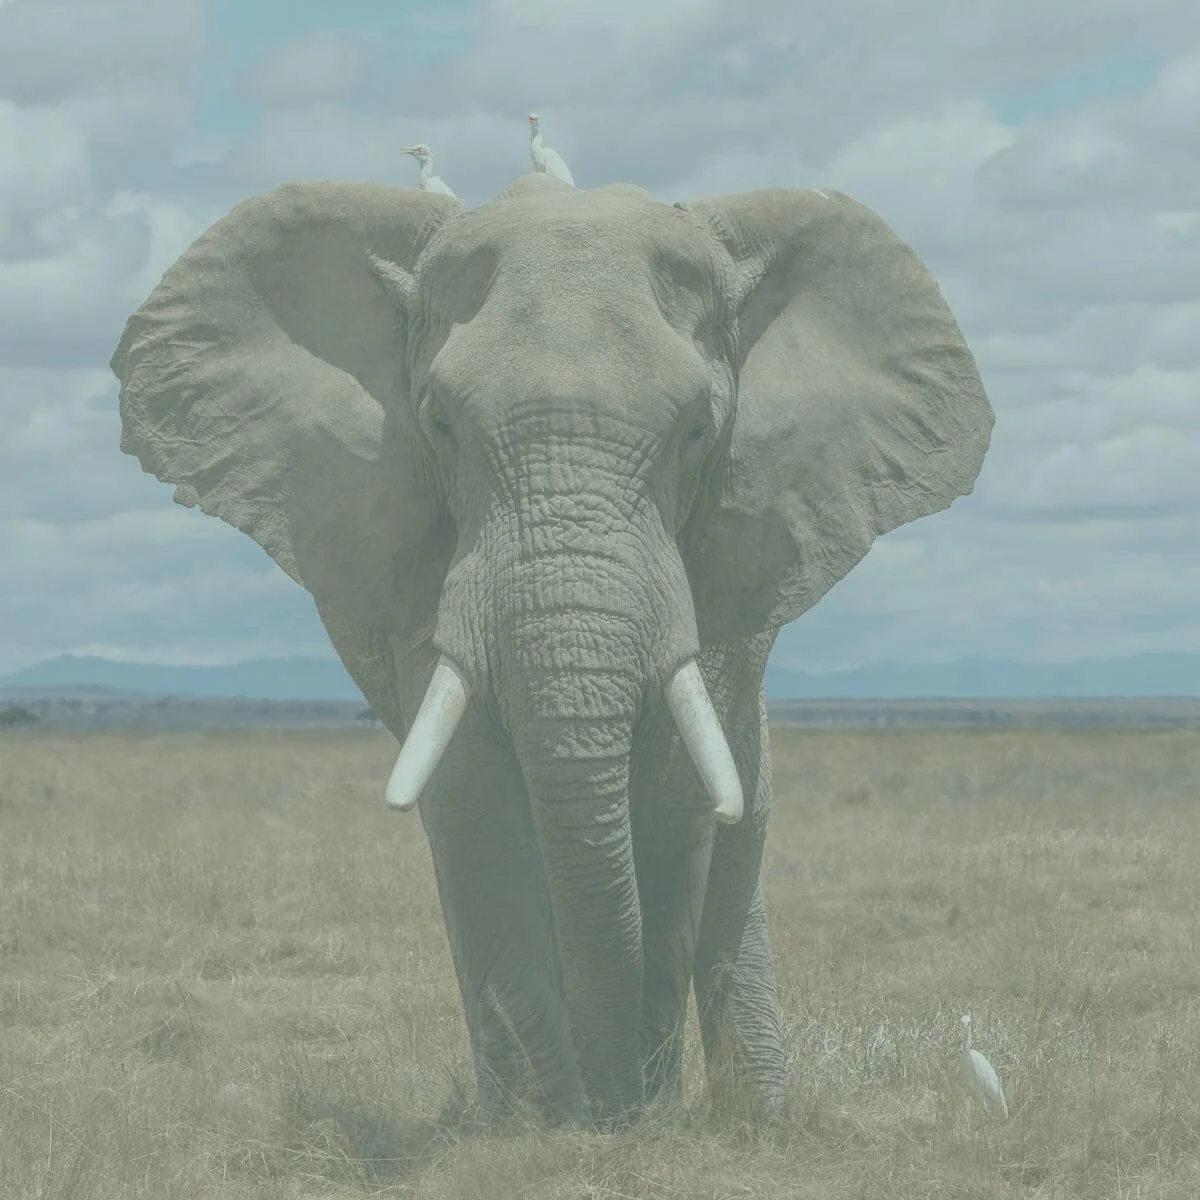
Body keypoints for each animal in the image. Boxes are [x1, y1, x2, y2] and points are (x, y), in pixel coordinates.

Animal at [110, 172, 993, 1129]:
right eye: (440, 426)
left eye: (697, 431)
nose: (617, 1108)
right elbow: (475, 802)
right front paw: (544, 1131)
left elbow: (675, 800)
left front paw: (634, 1118)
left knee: (738, 828)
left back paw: (756, 1118)